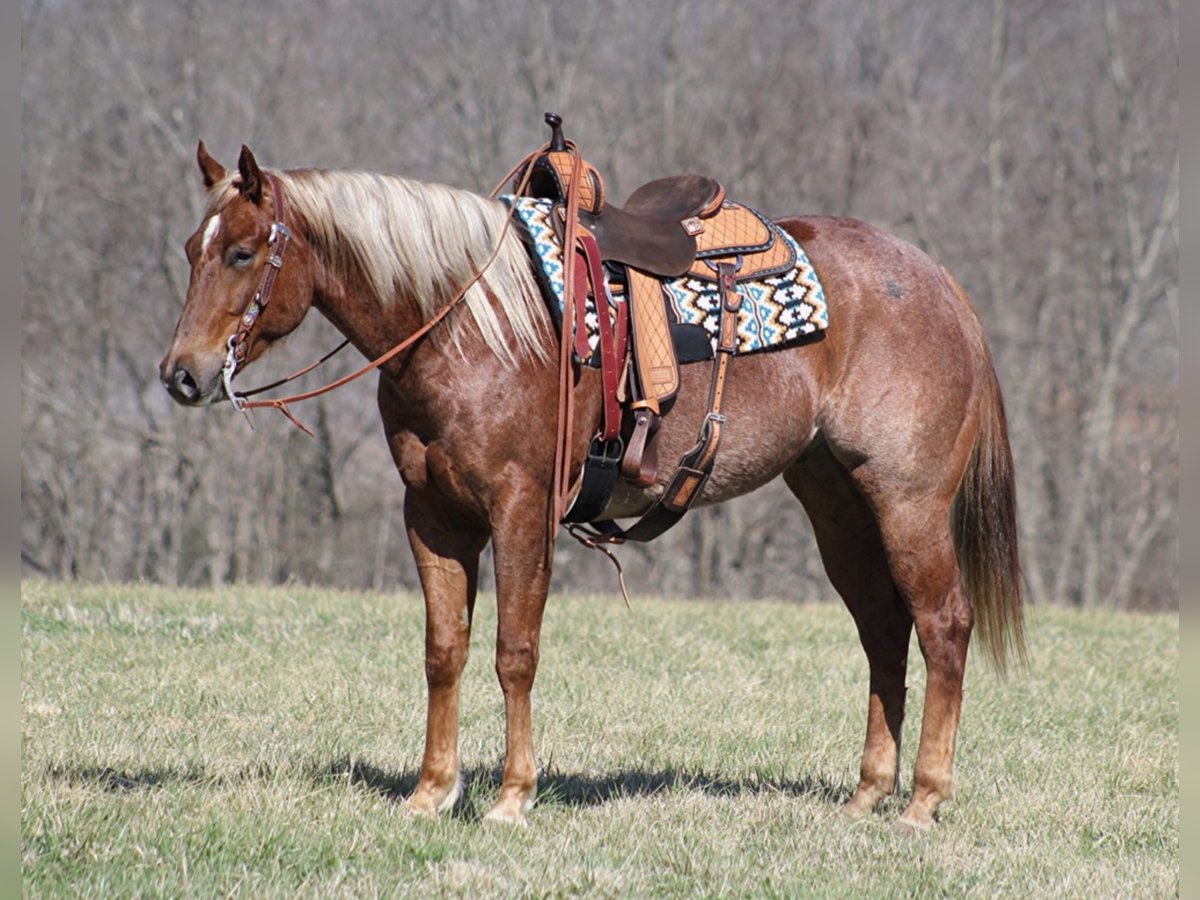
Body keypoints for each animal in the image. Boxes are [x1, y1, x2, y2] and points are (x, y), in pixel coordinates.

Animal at [157, 137, 1022, 835]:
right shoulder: (432, 515)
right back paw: (869, 793)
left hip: (906, 500)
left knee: (943, 623)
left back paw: (923, 801)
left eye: (242, 253)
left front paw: (512, 797)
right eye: (192, 249)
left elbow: (514, 652)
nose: (182, 376)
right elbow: (444, 650)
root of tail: (936, 278)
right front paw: (432, 792)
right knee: (883, 628)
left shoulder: (520, 508)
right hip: (837, 502)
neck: (465, 323)